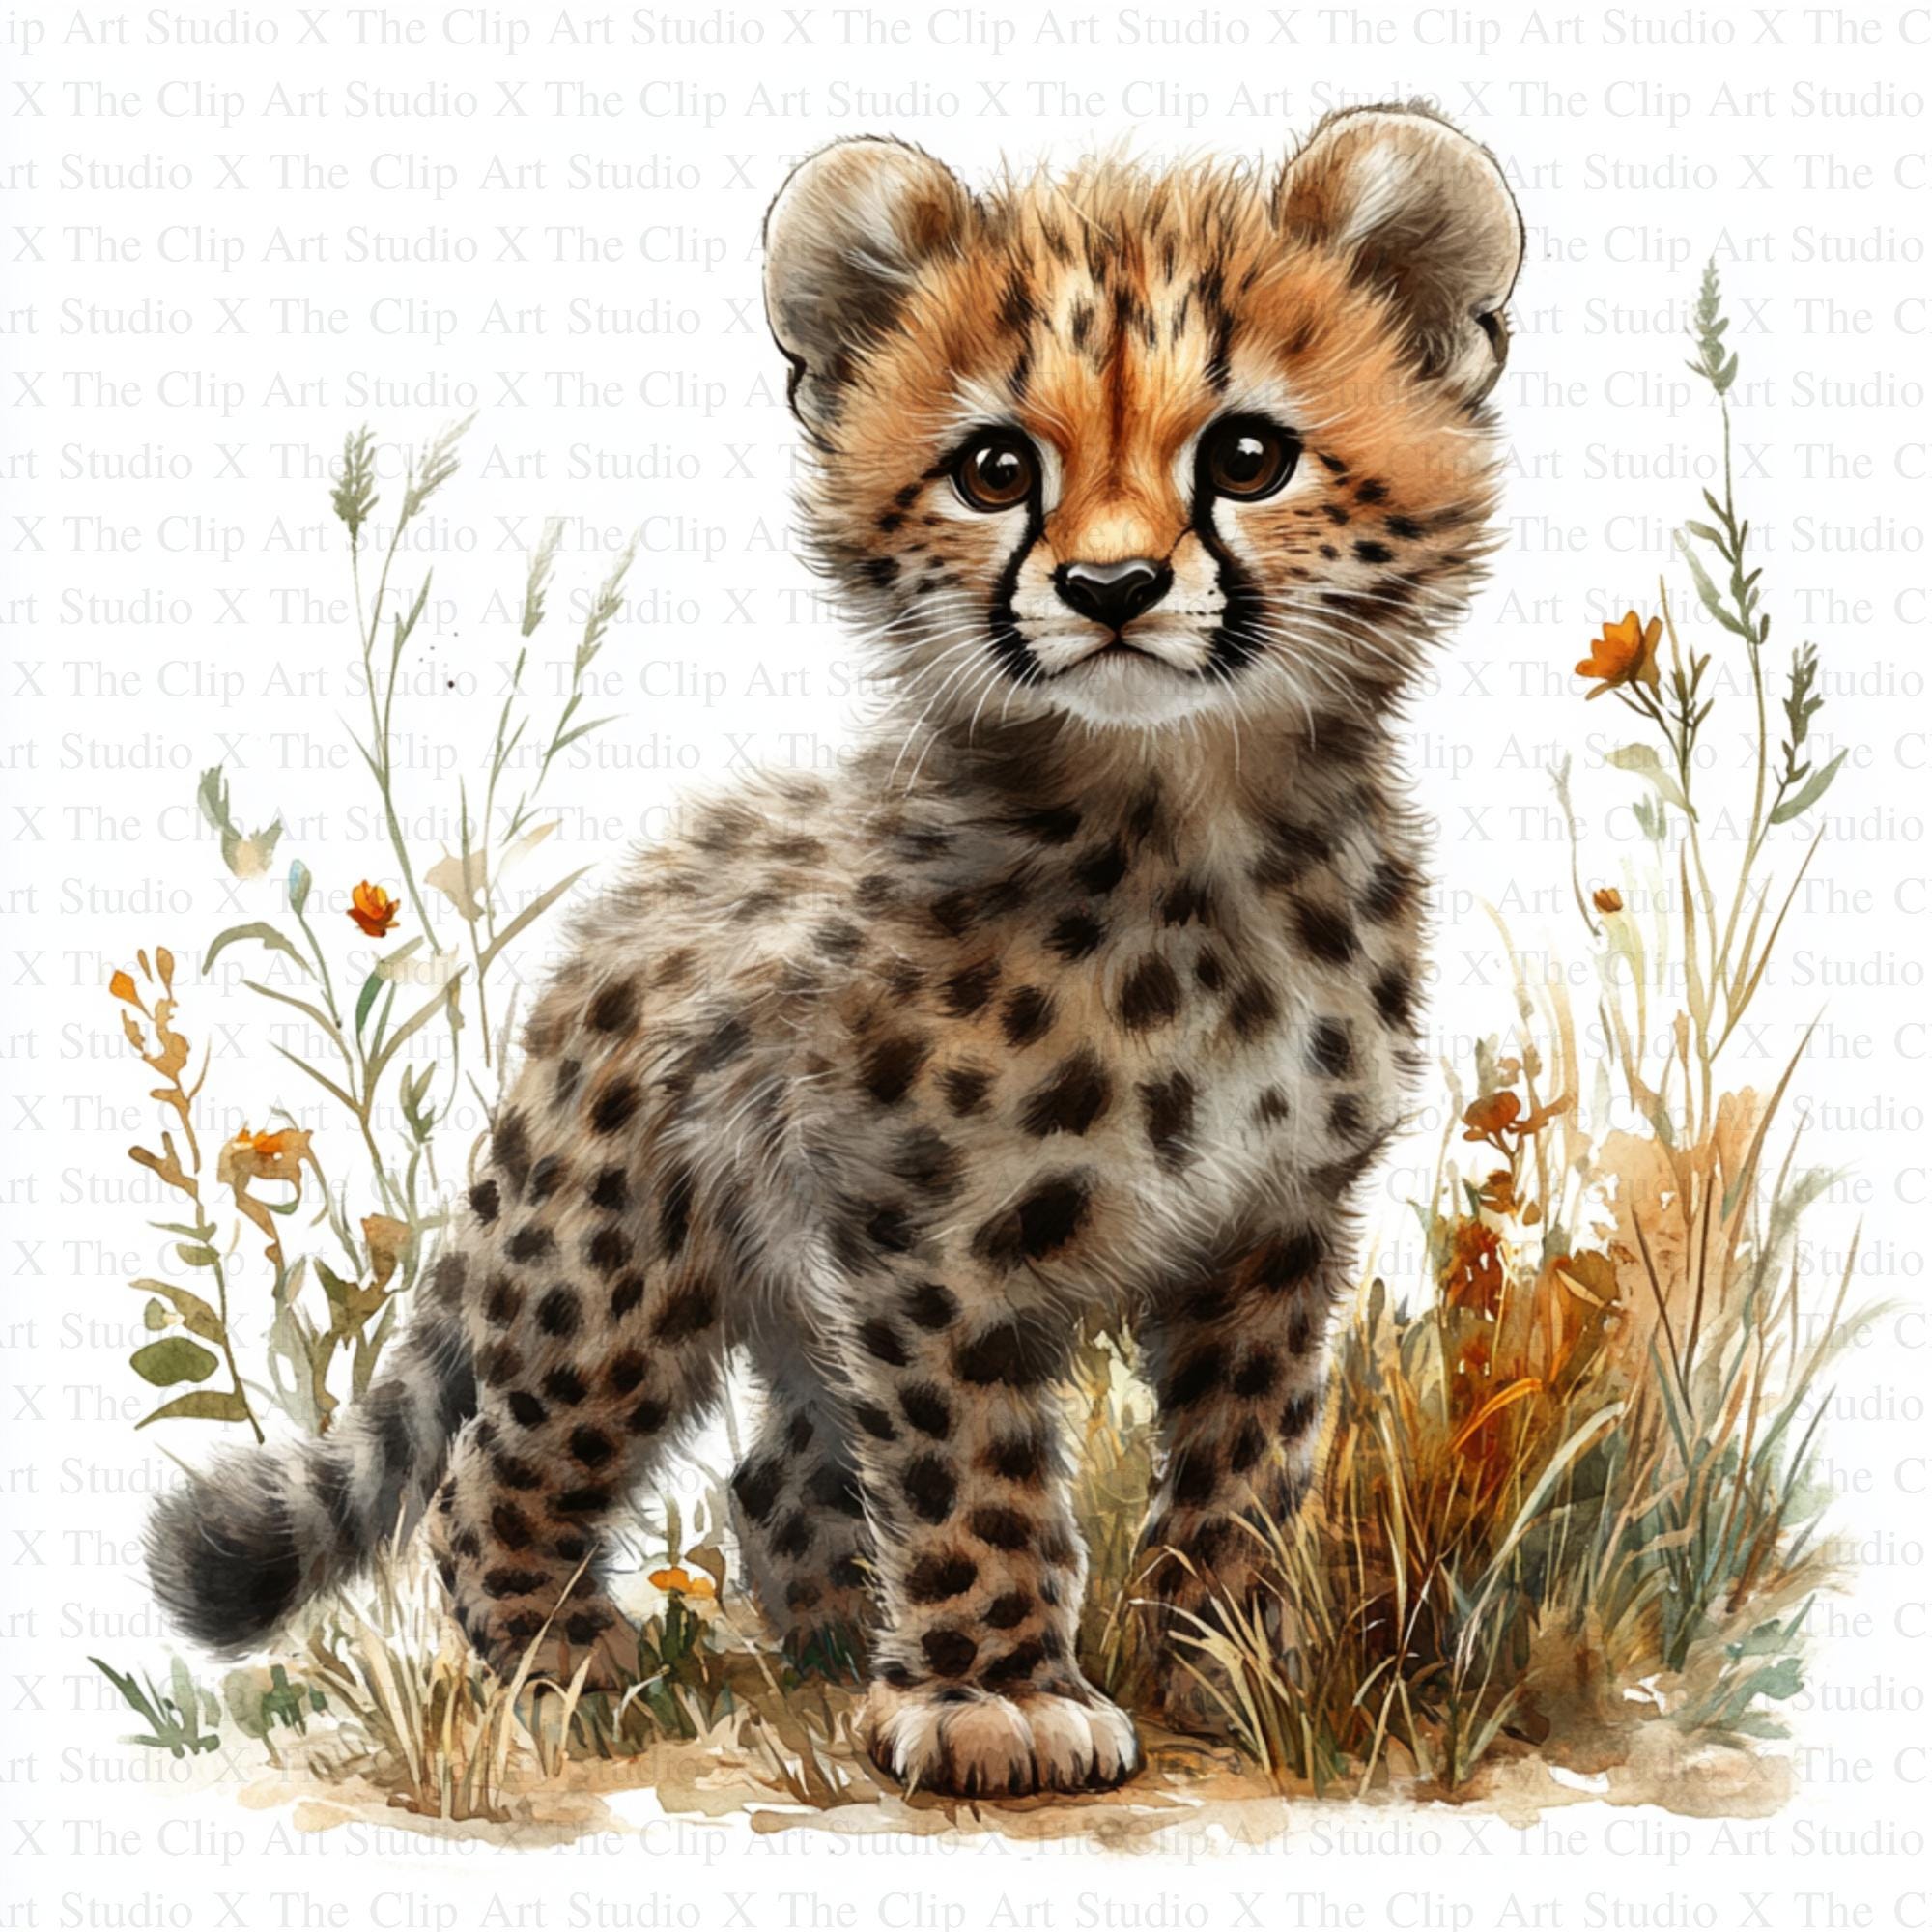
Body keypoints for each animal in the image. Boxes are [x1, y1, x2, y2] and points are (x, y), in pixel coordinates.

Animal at [148, 104, 1522, 1799]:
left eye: (1248, 458)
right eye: (996, 468)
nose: (1111, 589)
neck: (1189, 832)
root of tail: (628, 901)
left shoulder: (1269, 1230)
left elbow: (1245, 1455)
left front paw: (1232, 1663)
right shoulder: (926, 1235)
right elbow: (973, 1468)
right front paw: (998, 1695)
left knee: (774, 1473)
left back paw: (817, 1651)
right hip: (616, 1266)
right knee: (499, 1467)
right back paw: (574, 1665)